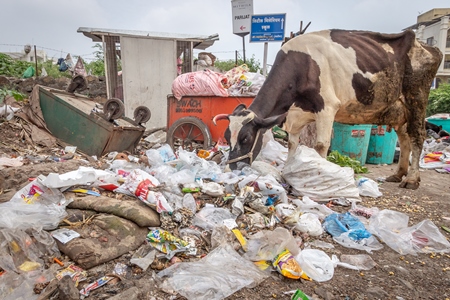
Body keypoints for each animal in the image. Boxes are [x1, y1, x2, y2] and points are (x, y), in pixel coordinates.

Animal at [213, 29, 442, 190]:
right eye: (227, 136)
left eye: (246, 138)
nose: (230, 168)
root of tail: (428, 46)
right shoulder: (295, 116)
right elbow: (293, 145)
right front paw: (288, 173)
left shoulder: (327, 106)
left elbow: (321, 145)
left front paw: (321, 180)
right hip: (400, 109)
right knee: (404, 138)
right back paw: (398, 174)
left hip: (417, 96)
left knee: (417, 136)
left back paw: (411, 179)